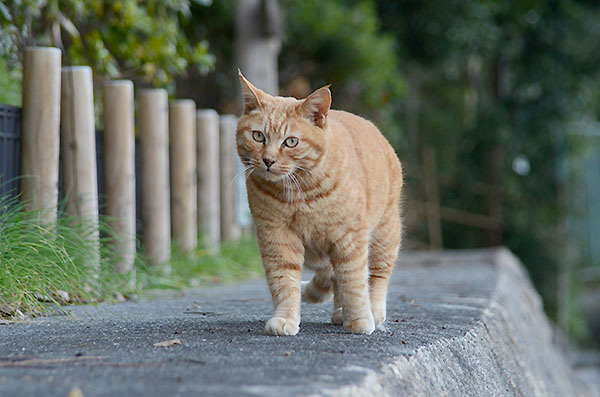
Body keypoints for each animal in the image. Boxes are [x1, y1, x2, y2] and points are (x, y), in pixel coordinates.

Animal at [237, 71, 400, 334]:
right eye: (258, 136)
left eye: (291, 142)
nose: (268, 160)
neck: (298, 193)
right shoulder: (277, 238)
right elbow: (284, 283)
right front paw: (286, 318)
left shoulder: (350, 239)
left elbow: (354, 280)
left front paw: (359, 320)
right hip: (318, 254)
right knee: (333, 277)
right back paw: (340, 312)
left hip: (384, 234)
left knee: (375, 277)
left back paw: (371, 312)